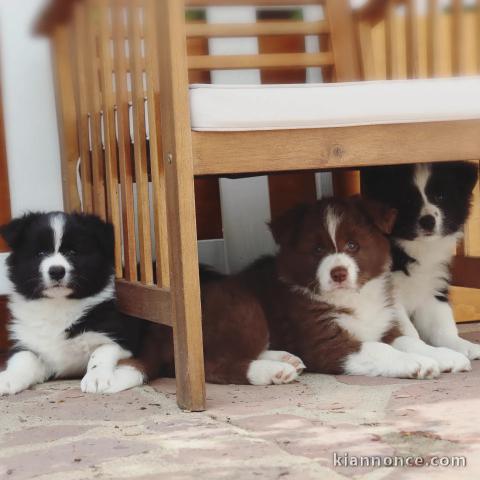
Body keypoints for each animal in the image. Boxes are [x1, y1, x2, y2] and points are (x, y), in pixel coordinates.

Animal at [0, 212, 146, 396]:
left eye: (72, 252)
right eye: (40, 253)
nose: (56, 271)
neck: (58, 305)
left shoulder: (123, 338)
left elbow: (102, 350)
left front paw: (96, 377)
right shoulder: (31, 344)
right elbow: (22, 358)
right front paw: (8, 378)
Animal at [364, 160, 480, 364]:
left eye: (441, 195)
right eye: (407, 200)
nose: (428, 221)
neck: (417, 247)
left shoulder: (432, 289)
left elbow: (442, 327)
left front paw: (462, 345)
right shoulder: (389, 297)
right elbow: (408, 332)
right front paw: (431, 354)